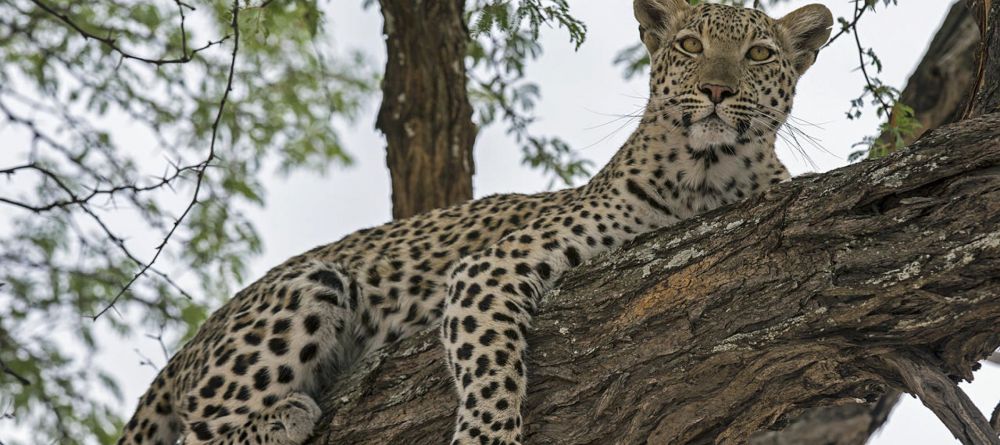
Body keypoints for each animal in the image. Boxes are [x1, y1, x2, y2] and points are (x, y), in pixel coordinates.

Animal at [119, 1, 836, 442]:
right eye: (690, 45)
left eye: (759, 55)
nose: (716, 90)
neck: (716, 173)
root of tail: (205, 325)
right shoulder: (489, 268)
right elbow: (491, 368)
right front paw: (486, 434)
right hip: (310, 284)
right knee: (197, 428)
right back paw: (282, 416)